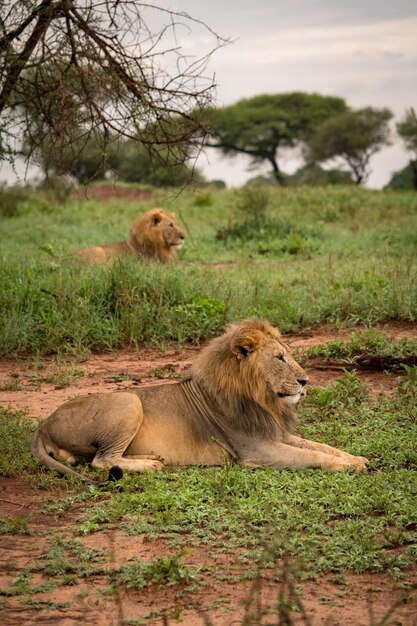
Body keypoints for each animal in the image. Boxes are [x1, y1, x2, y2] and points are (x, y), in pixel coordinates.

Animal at [30, 320, 368, 480]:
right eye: (280, 358)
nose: (305, 381)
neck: (265, 401)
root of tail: (43, 425)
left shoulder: (277, 435)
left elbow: (321, 446)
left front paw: (355, 458)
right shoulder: (257, 449)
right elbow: (311, 456)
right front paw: (348, 466)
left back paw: (150, 457)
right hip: (128, 401)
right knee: (101, 460)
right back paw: (150, 465)